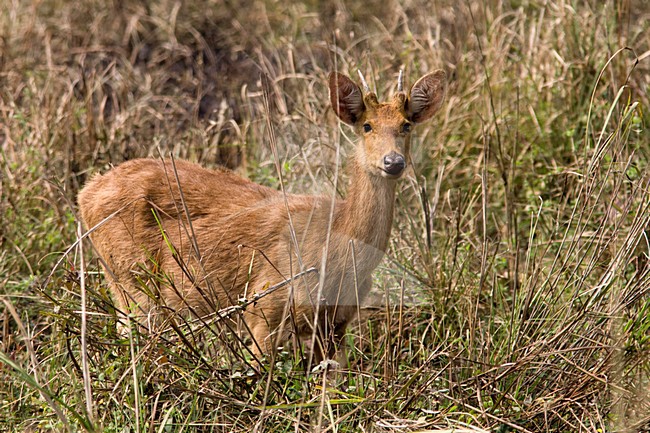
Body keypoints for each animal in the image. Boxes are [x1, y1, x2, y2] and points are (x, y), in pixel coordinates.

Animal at [78, 68, 446, 367]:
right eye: (367, 126)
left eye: (406, 125)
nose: (393, 161)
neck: (337, 243)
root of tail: (86, 193)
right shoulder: (264, 305)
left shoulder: (336, 324)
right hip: (129, 280)